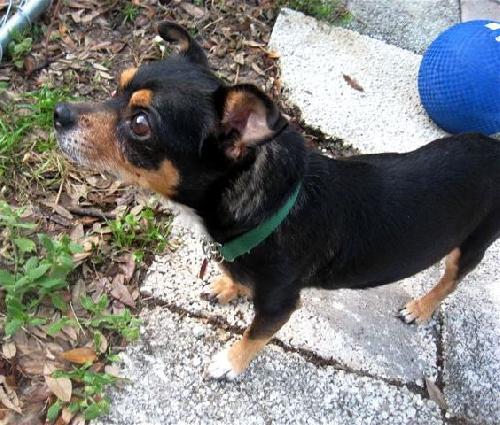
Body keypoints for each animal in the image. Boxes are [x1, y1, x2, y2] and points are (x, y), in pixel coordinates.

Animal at [54, 22, 500, 380]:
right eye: (118, 84)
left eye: (141, 124)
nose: (58, 113)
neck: (268, 209)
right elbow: (235, 278)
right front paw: (229, 285)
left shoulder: (279, 305)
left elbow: (254, 336)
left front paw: (229, 363)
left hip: (474, 243)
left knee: (450, 279)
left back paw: (421, 308)